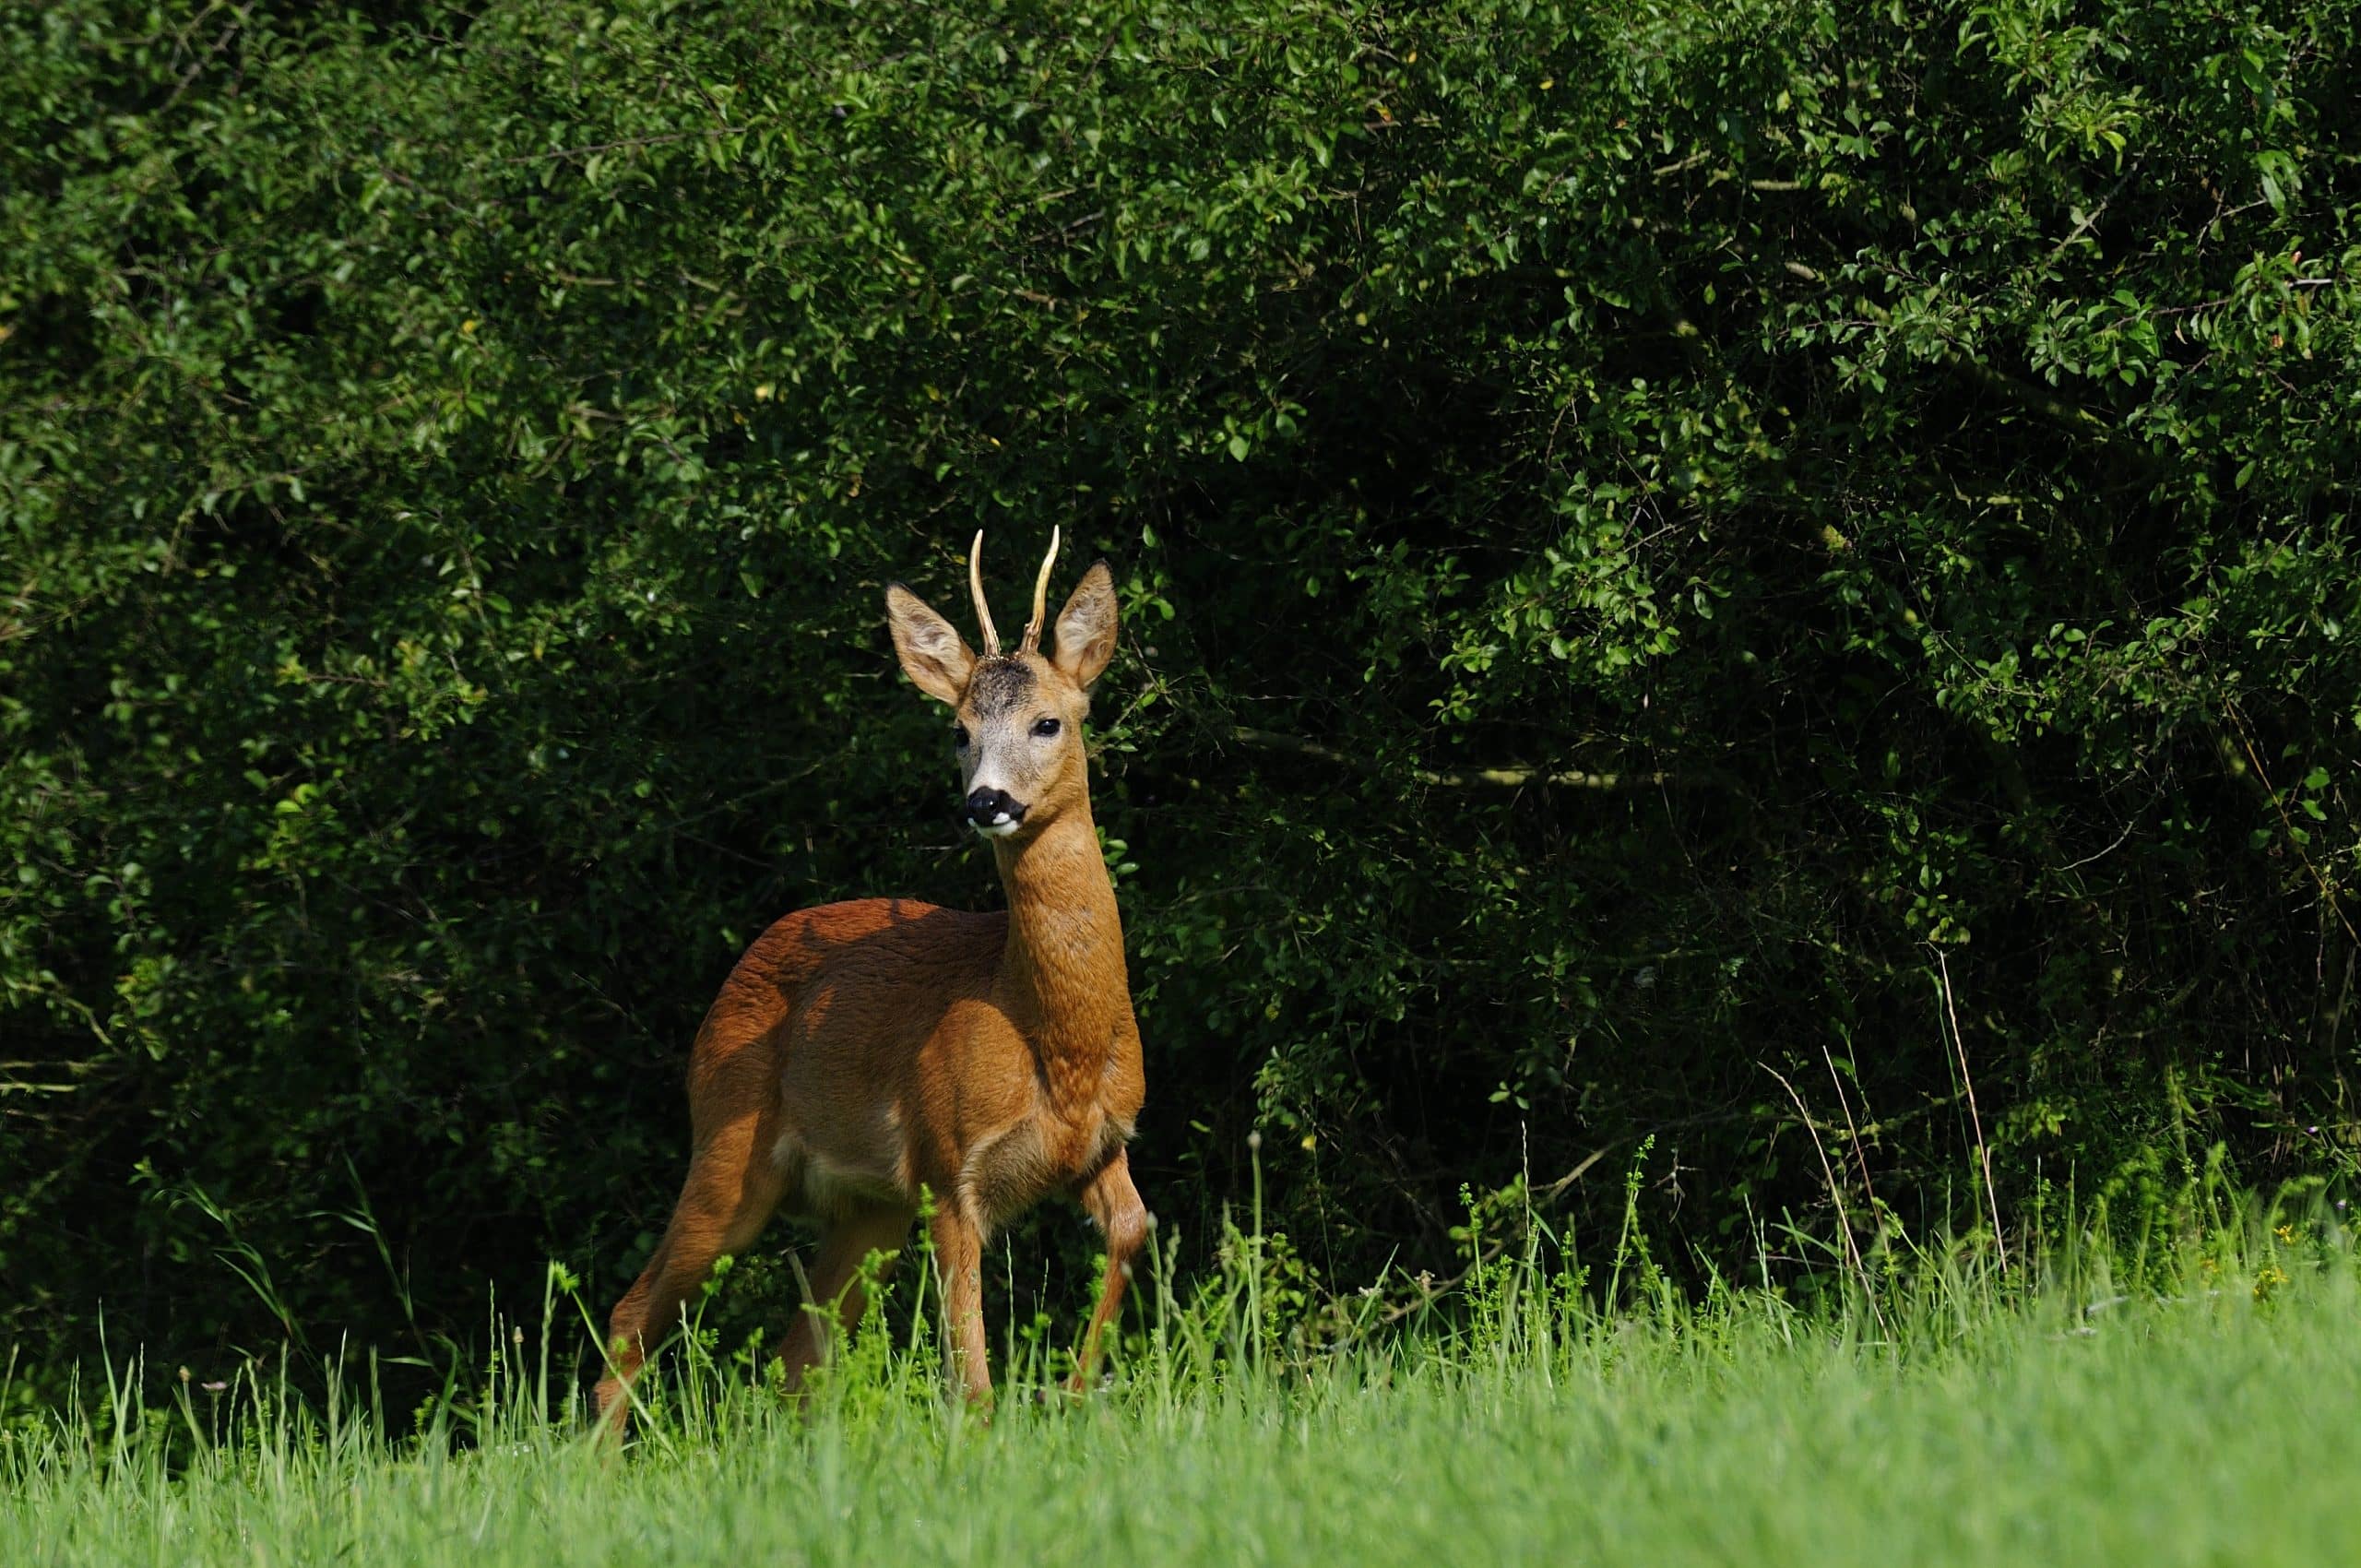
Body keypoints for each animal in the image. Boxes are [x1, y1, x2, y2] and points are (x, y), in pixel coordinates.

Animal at [593, 529, 1149, 1433]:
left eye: (1049, 722)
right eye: (958, 730)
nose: (986, 801)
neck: (1053, 1034)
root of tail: (739, 967)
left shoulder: (1103, 1142)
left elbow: (1133, 1231)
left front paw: (1072, 1390)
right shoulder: (948, 1162)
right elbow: (971, 1375)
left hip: (869, 1211)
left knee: (797, 1354)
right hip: (726, 1149)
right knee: (633, 1316)